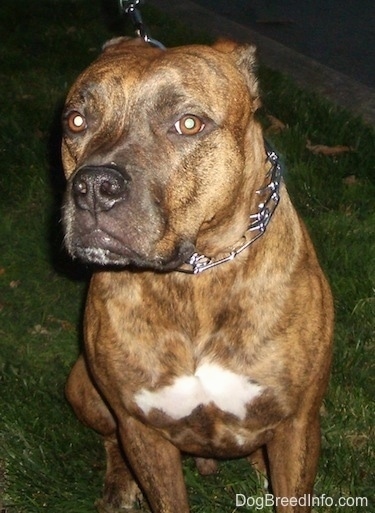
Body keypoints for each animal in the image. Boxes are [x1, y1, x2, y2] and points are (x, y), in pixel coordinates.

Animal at [61, 37, 334, 512]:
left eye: (188, 124)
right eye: (76, 121)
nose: (93, 186)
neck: (195, 279)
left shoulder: (298, 424)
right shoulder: (143, 431)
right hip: (82, 384)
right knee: (111, 437)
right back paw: (119, 482)